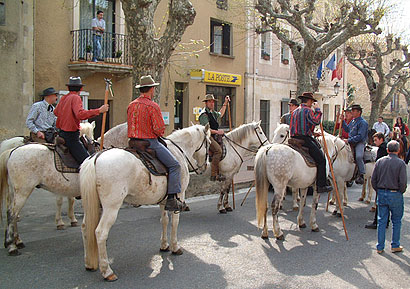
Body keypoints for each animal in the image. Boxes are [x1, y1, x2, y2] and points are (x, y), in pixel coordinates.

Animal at [79, 123, 211, 280]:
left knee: (85, 228)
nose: (204, 167)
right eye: (209, 143)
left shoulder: (164, 200)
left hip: (93, 206)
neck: (179, 150)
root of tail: (96, 158)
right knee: (100, 233)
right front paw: (175, 247)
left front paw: (164, 245)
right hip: (111, 208)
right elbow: (175, 222)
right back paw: (107, 271)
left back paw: (88, 263)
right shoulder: (180, 195)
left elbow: (164, 221)